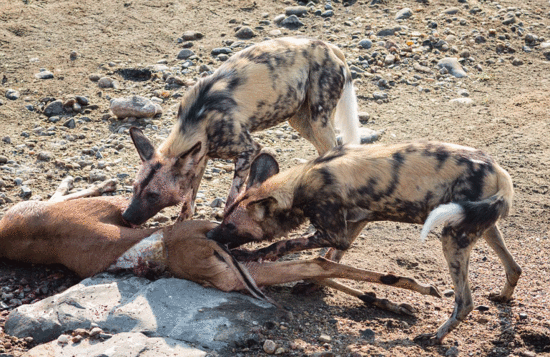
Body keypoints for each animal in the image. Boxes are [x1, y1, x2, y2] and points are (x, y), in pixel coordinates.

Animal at [121, 36, 362, 225]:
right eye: (134, 188)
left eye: (153, 195)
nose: (126, 217)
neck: (198, 118)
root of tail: (328, 46)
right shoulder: (201, 156)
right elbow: (190, 198)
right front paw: (180, 226)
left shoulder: (248, 149)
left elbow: (231, 197)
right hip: (301, 122)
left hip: (318, 120)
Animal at [209, 140, 524, 344]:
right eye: (222, 218)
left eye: (230, 226)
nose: (210, 236)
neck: (299, 184)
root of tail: (499, 171)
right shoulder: (352, 226)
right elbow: (329, 259)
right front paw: (311, 285)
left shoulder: (333, 232)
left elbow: (286, 245)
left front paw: (255, 255)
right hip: (482, 226)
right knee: (514, 267)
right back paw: (503, 297)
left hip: (452, 237)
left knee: (465, 302)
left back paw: (435, 337)